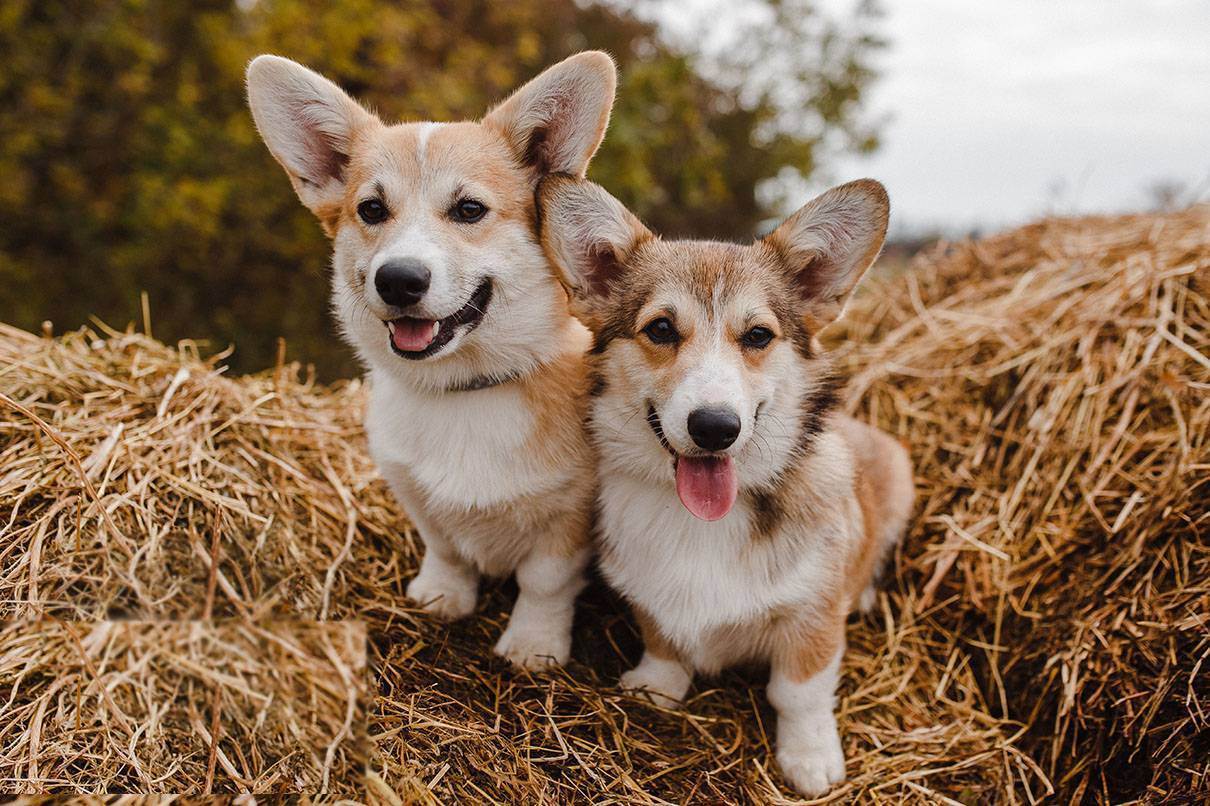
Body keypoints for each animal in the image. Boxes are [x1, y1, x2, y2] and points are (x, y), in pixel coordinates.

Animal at [249, 51, 619, 663]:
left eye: (469, 210)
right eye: (372, 209)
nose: (398, 279)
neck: (464, 391)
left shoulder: (571, 516)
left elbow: (544, 582)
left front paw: (533, 646)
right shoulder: (412, 492)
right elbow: (444, 547)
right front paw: (442, 597)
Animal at [542, 174, 914, 789]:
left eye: (758, 335)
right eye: (660, 329)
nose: (715, 428)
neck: (702, 522)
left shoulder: (812, 618)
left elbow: (799, 692)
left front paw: (811, 759)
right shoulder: (650, 598)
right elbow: (665, 643)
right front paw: (655, 688)